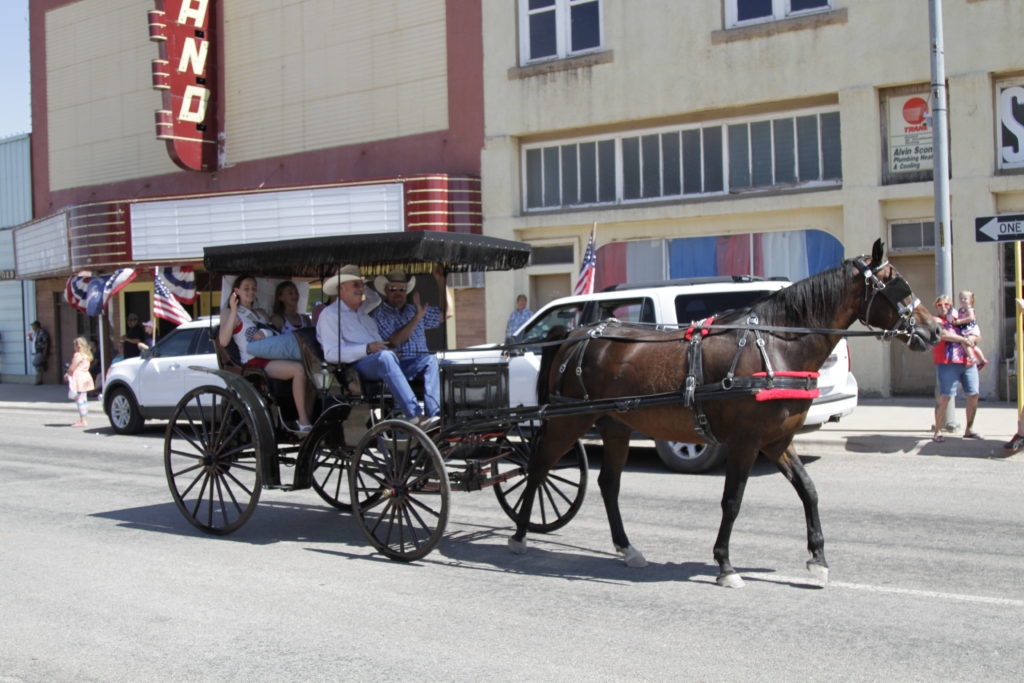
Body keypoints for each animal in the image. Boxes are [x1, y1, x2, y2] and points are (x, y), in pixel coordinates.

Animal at [507, 241, 937, 589]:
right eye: (899, 286)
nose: (933, 331)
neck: (776, 345)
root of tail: (575, 335)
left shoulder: (777, 440)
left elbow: (809, 490)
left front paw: (818, 559)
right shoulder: (745, 442)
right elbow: (733, 500)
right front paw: (725, 565)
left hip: (616, 425)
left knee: (608, 484)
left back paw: (627, 548)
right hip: (568, 420)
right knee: (538, 469)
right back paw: (520, 536)